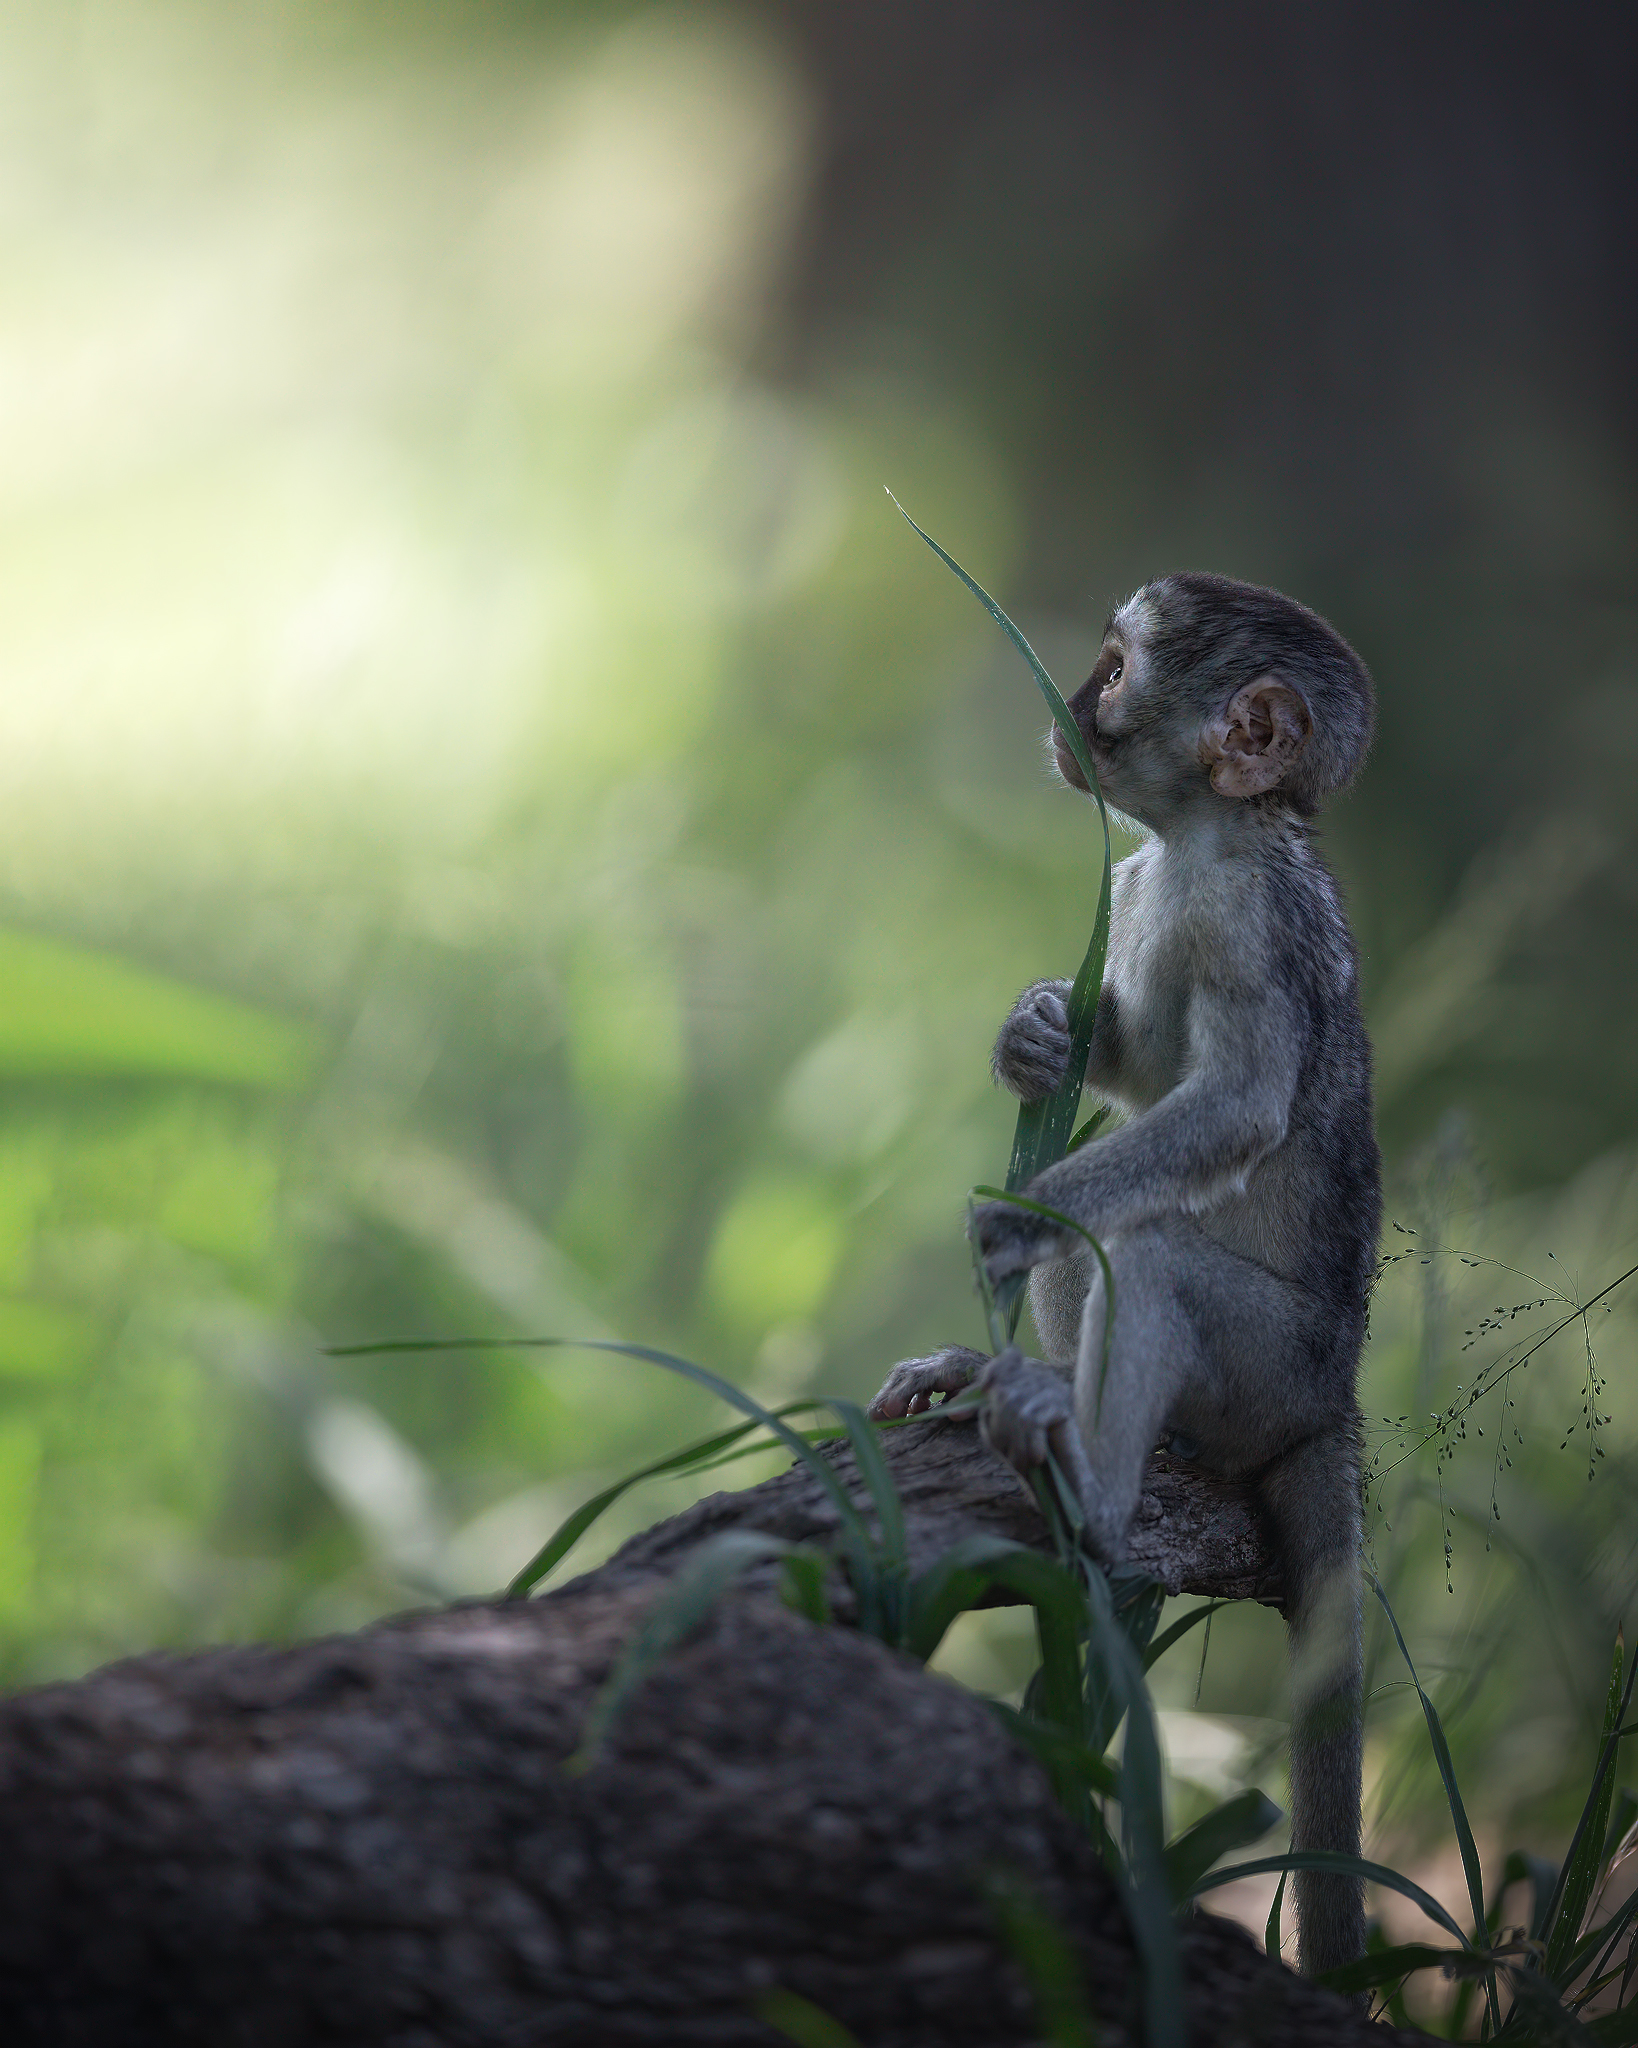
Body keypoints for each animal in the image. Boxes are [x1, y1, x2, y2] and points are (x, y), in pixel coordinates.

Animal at [870, 572, 1379, 1981]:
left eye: (1114, 667)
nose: (1069, 701)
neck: (1210, 836)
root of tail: (1339, 1395)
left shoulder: (1249, 911)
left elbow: (1231, 1108)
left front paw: (1013, 1214)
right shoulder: (1155, 882)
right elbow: (1142, 1068)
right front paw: (1037, 1036)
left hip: (1273, 1369)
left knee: (1137, 1251)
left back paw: (1091, 1491)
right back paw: (1009, 1375)